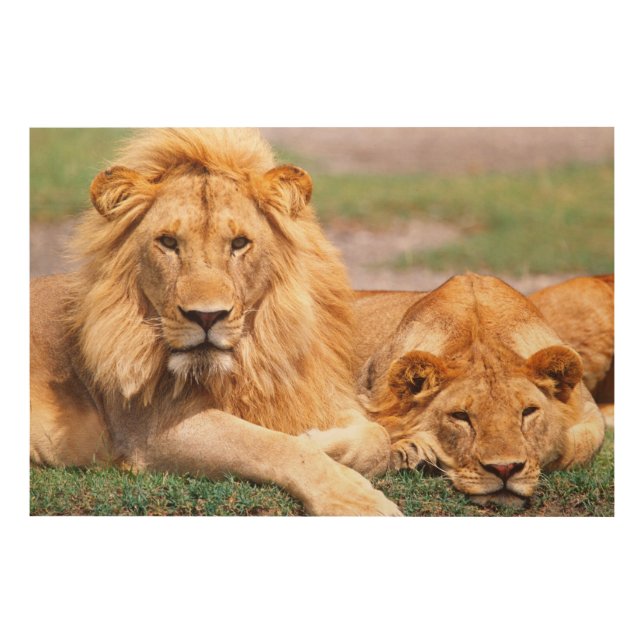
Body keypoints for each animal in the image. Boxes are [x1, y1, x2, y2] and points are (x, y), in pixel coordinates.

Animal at [30, 128, 400, 516]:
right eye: (168, 242)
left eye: (239, 243)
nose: (206, 315)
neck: (249, 361)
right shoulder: (150, 430)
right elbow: (274, 445)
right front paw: (353, 497)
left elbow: (379, 437)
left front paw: (323, 442)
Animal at [354, 274, 605, 506]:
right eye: (460, 416)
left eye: (528, 412)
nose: (505, 469)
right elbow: (377, 435)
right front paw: (410, 452)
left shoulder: (589, 411)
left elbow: (578, 446)